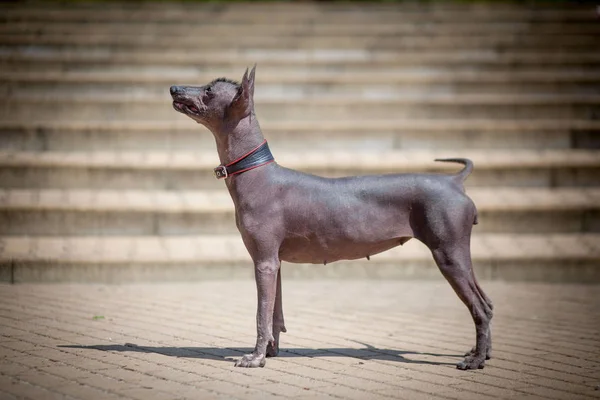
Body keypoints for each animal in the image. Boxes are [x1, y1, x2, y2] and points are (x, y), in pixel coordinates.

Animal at [169, 67, 492, 370]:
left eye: (209, 91)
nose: (173, 88)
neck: (256, 172)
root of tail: (453, 181)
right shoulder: (274, 263)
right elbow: (275, 312)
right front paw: (271, 352)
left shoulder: (264, 263)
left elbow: (261, 314)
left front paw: (255, 358)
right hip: (457, 256)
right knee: (487, 303)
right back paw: (483, 353)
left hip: (448, 254)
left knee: (480, 307)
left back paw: (475, 360)